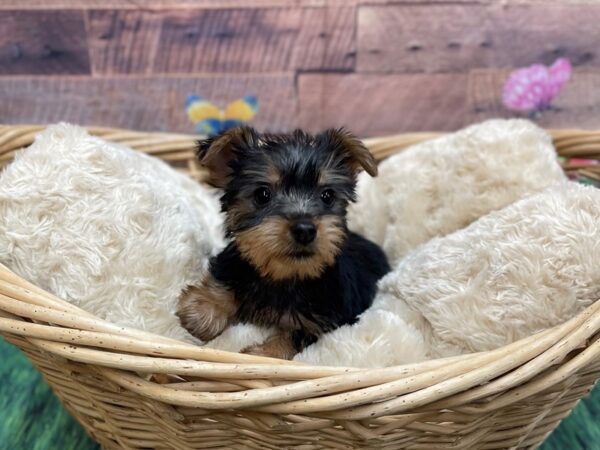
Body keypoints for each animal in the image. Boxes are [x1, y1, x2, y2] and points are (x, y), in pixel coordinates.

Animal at [176, 125, 392, 358]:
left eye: (327, 195)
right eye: (262, 194)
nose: (305, 230)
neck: (285, 275)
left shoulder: (326, 320)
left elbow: (294, 335)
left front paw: (263, 353)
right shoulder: (236, 261)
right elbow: (227, 277)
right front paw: (204, 308)